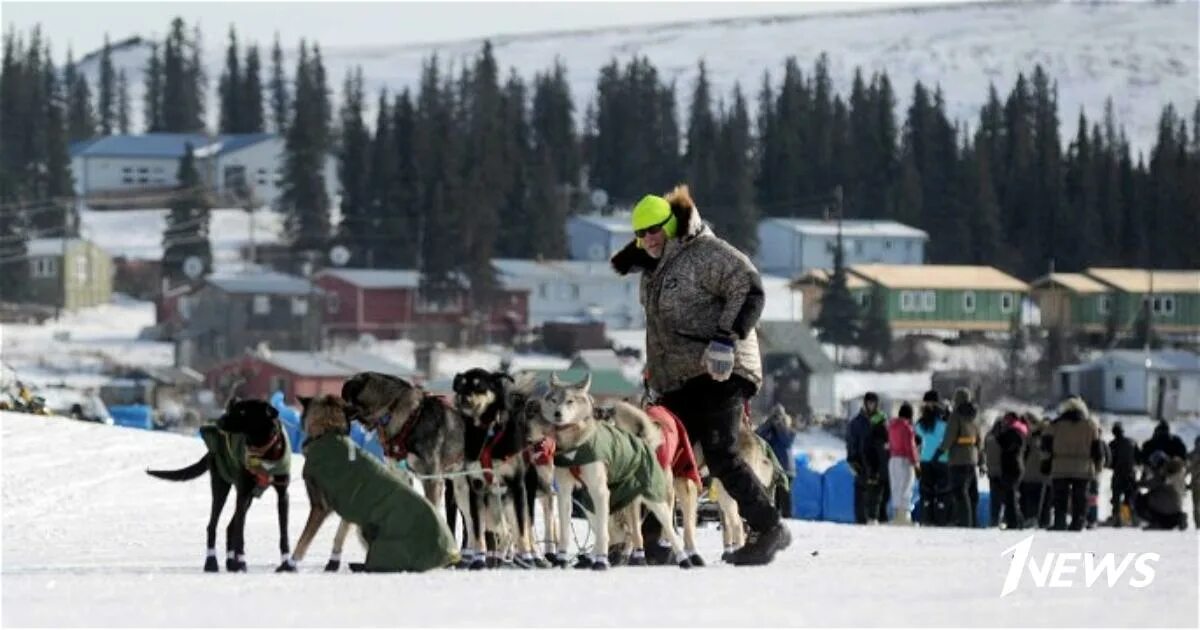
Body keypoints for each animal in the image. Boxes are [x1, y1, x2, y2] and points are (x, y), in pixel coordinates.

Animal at [146, 400, 291, 571]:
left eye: (243, 412)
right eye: (233, 408)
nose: (219, 421)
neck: (263, 451)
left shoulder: (282, 494)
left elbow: (283, 533)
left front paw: (287, 565)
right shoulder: (243, 493)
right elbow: (240, 534)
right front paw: (242, 563)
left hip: (248, 496)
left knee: (230, 527)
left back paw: (231, 564)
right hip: (221, 486)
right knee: (212, 525)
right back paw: (212, 562)